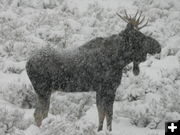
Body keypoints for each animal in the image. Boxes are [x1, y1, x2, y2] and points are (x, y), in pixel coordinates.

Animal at [25, 10, 162, 131]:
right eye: (139, 36)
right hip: (43, 90)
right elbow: (107, 114)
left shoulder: (102, 90)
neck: (119, 61)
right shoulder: (107, 88)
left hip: (45, 91)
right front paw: (105, 130)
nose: (158, 46)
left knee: (42, 113)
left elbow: (103, 114)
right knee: (38, 114)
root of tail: (27, 64)